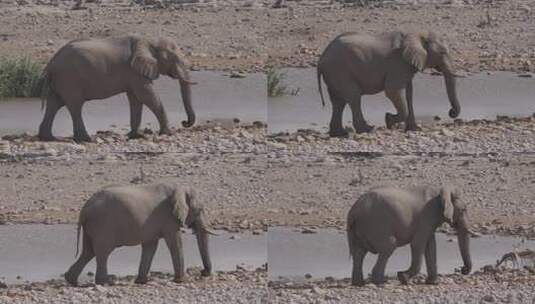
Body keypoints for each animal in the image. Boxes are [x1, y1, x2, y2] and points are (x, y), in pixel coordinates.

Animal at [37, 34, 197, 142]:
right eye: (174, 58)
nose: (185, 123)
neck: (149, 40)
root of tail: (51, 63)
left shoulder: (133, 72)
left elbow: (136, 99)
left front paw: (135, 136)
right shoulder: (134, 71)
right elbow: (147, 95)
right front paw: (166, 133)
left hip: (60, 80)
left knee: (54, 104)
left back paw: (49, 138)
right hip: (69, 78)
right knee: (75, 105)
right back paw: (86, 139)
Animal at [63, 183, 213, 284]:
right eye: (200, 209)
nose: (203, 273)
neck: (179, 188)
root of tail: (84, 209)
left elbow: (150, 246)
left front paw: (142, 281)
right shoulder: (168, 219)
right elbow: (174, 243)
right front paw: (183, 280)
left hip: (92, 226)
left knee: (88, 251)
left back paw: (71, 280)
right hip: (103, 225)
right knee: (102, 252)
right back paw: (106, 282)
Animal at [316, 30, 462, 136]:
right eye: (442, 52)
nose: (451, 112)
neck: (416, 35)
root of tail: (322, 58)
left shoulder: (406, 66)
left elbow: (409, 93)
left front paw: (414, 129)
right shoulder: (398, 64)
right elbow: (393, 91)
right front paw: (389, 120)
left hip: (334, 73)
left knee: (338, 101)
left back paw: (339, 134)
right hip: (340, 70)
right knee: (353, 97)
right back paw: (367, 130)